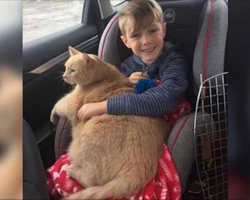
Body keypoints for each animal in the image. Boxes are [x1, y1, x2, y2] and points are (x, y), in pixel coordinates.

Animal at [49, 47, 169, 200]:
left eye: (72, 70)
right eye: (65, 68)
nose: (64, 76)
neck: (104, 77)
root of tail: (138, 169)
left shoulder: (71, 102)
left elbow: (58, 104)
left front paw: (53, 116)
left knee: (91, 180)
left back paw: (71, 170)